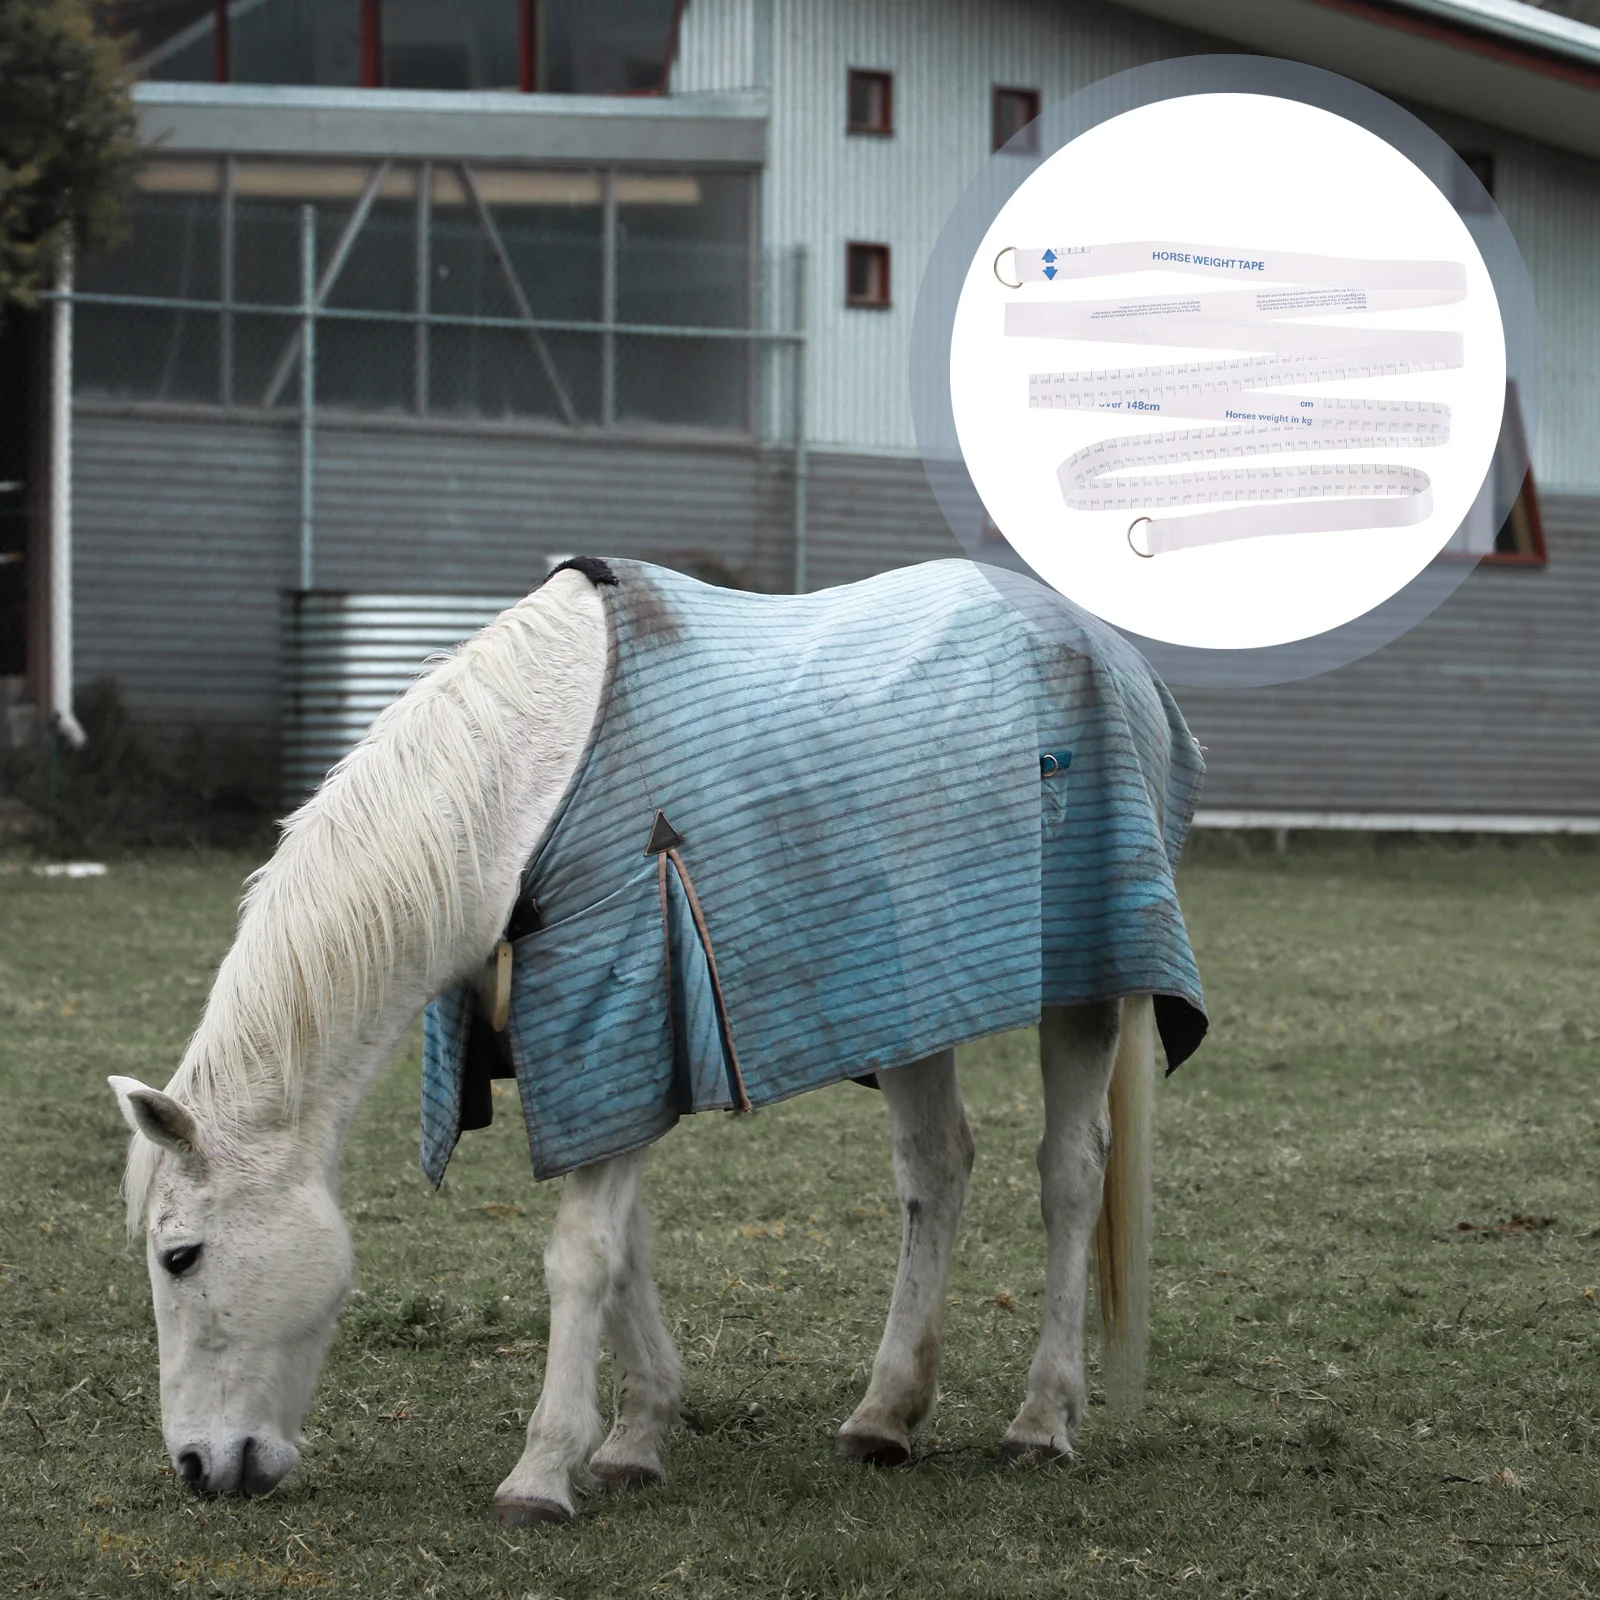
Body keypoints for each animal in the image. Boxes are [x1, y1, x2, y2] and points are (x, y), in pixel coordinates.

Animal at [110, 556, 1205, 1522]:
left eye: (181, 1256)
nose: (199, 1467)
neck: (517, 798)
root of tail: (1109, 648)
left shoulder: (619, 1018)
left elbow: (581, 1256)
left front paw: (541, 1473)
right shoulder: (602, 1067)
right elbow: (625, 1249)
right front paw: (635, 1438)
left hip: (1087, 990)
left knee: (1070, 1174)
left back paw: (1042, 1420)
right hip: (912, 1000)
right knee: (937, 1167)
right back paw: (884, 1416)